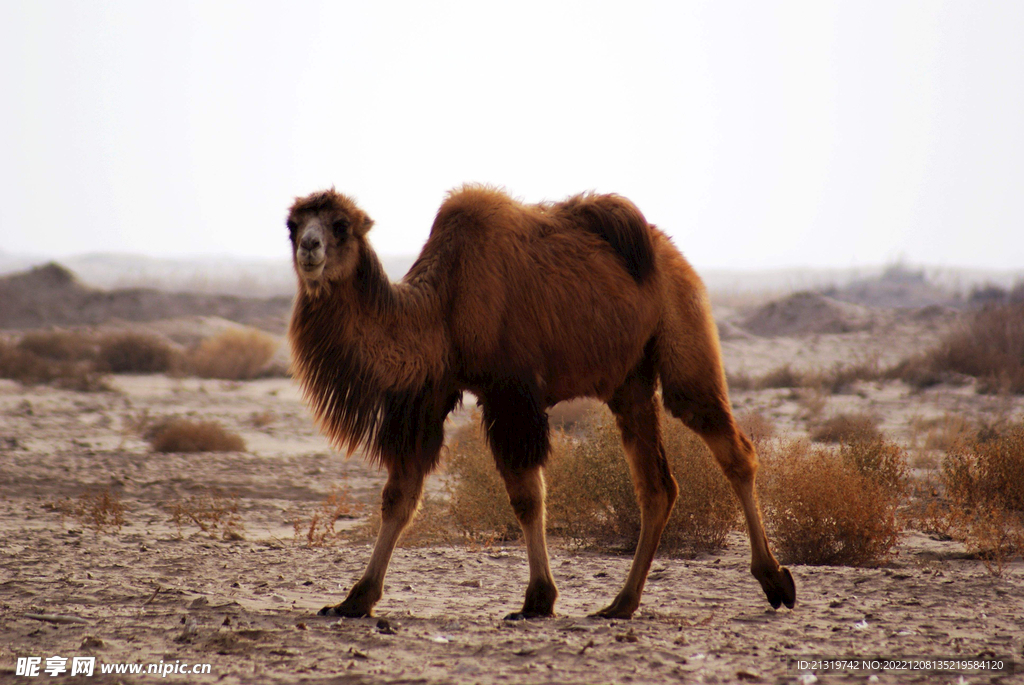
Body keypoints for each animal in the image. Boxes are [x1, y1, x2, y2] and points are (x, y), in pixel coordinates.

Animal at [284, 184, 794, 618]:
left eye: (340, 225)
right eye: (292, 224)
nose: (309, 248)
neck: (441, 305)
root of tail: (670, 254)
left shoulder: (511, 394)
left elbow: (527, 497)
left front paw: (538, 599)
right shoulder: (430, 394)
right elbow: (398, 496)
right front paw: (355, 599)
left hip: (684, 332)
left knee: (731, 447)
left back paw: (775, 581)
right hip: (629, 384)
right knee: (657, 486)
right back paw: (621, 603)